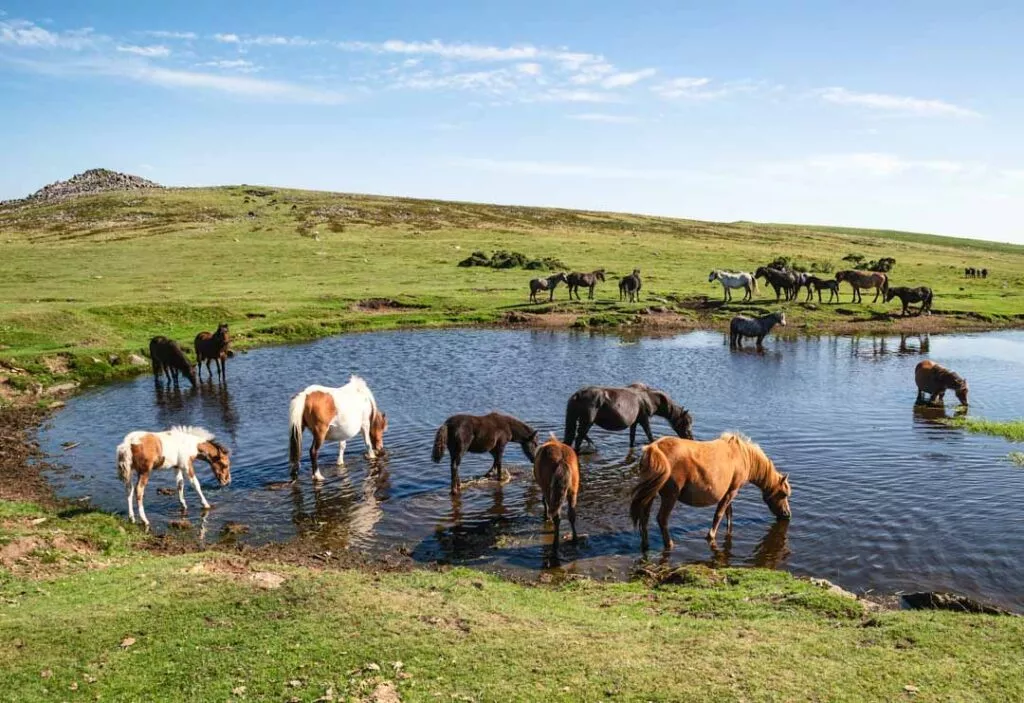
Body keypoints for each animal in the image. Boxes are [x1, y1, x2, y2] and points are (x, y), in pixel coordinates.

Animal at [563, 383, 693, 452]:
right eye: (686, 422)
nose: (690, 438)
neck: (649, 398)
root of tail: (577, 395)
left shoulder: (634, 422)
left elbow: (632, 438)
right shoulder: (644, 419)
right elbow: (650, 436)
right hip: (588, 421)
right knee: (579, 437)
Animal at [629, 433, 791, 551]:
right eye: (783, 494)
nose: (787, 514)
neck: (742, 456)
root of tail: (653, 449)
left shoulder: (729, 492)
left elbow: (728, 513)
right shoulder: (732, 491)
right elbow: (719, 514)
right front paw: (711, 535)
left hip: (650, 492)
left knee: (644, 517)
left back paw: (645, 544)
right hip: (670, 496)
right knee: (662, 519)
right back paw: (669, 544)